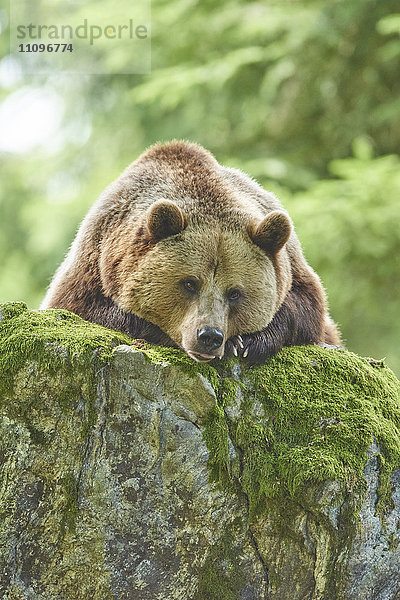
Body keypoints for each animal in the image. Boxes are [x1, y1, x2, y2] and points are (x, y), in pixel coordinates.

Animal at [41, 142, 340, 360]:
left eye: (234, 292)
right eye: (189, 283)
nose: (210, 336)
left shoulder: (290, 263)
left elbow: (306, 306)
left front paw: (246, 342)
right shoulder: (96, 257)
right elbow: (81, 307)